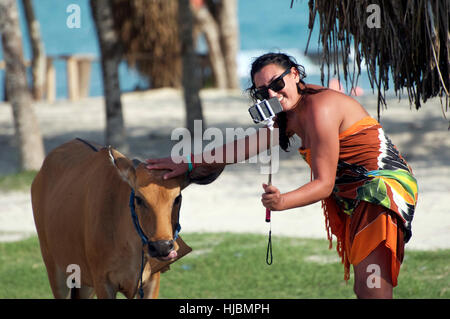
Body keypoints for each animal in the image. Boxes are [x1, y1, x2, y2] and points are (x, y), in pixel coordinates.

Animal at [30, 138, 224, 300]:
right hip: (54, 267)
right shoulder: (103, 280)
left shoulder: (151, 280)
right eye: (138, 198)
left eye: (178, 197)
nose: (161, 246)